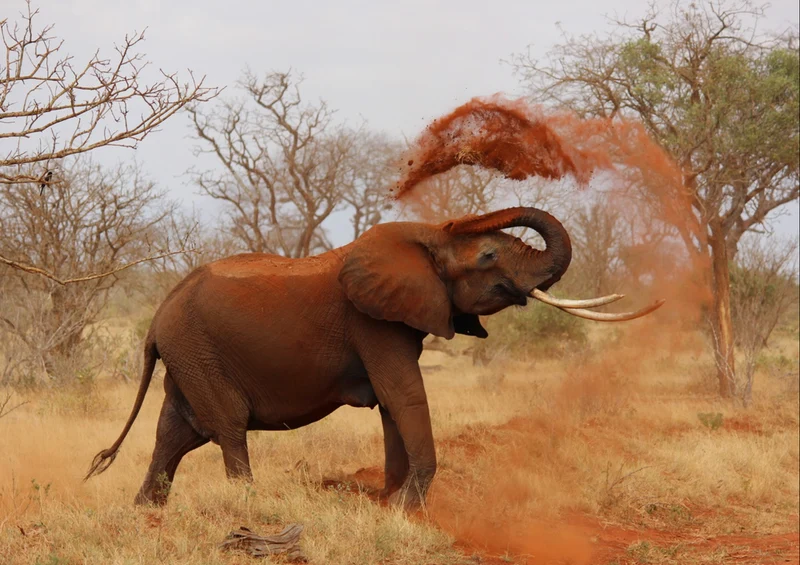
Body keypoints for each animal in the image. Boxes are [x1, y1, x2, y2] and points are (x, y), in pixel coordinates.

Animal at [84, 207, 661, 510]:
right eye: (489, 255)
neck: (426, 238)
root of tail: (157, 316)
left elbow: (392, 404)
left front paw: (390, 501)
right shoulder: (373, 323)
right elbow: (403, 394)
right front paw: (408, 508)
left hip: (188, 355)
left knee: (175, 432)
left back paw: (146, 513)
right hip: (198, 351)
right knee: (226, 426)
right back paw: (250, 505)